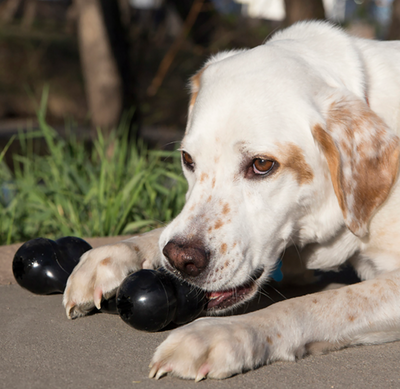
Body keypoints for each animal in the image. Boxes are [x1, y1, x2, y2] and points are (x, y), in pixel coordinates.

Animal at [61, 21, 400, 378]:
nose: (181, 260)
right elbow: (161, 233)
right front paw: (115, 253)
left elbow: (319, 303)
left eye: (262, 164)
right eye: (187, 159)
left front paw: (223, 333)